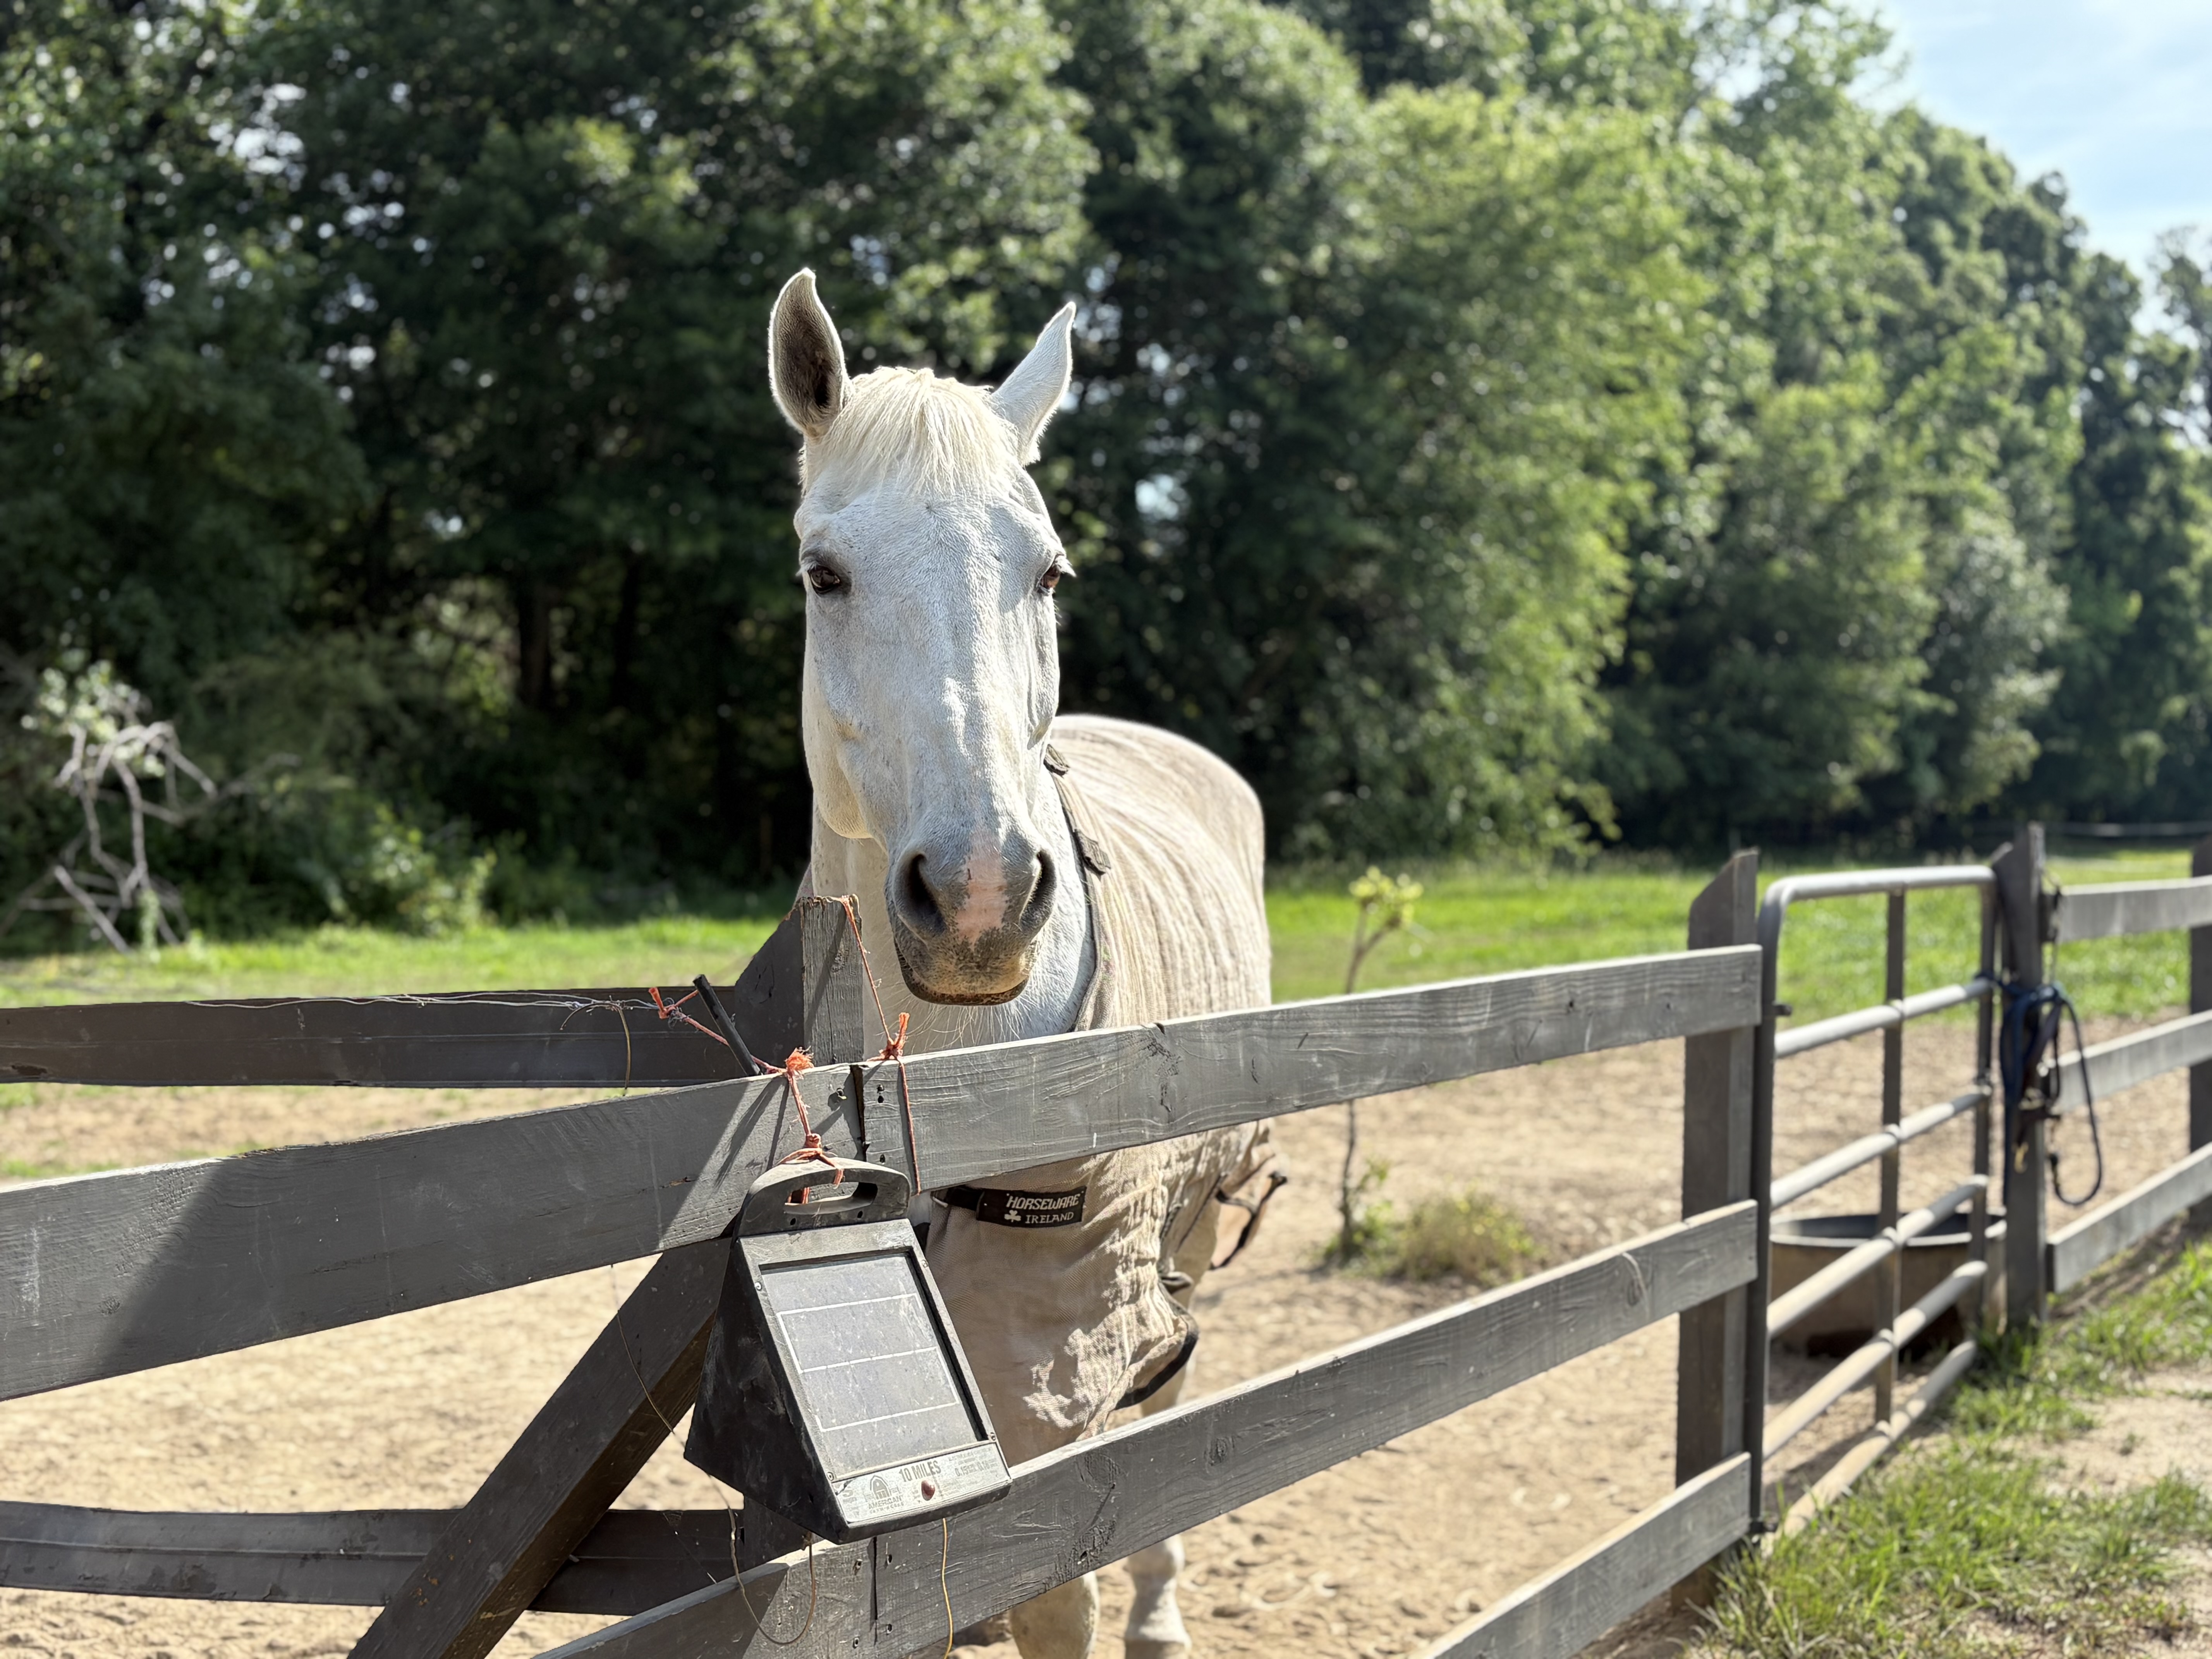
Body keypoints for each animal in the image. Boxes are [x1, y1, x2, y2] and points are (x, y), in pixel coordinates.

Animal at [770, 269, 1279, 1659]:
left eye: (1046, 571)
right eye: (823, 572)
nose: (981, 898)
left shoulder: (1047, 1327)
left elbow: (1059, 1581)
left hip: (1187, 1212)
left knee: (1167, 1389)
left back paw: (1161, 1605)